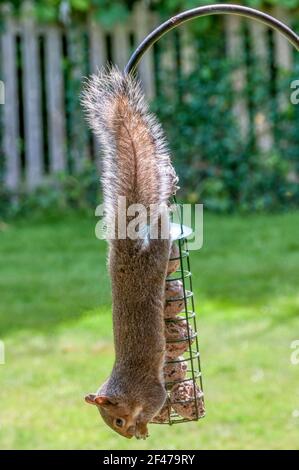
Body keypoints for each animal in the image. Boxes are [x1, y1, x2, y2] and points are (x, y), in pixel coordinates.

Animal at [82, 68, 178, 438]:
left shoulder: (150, 391)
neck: (125, 389)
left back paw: (166, 211)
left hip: (156, 257)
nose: (126, 436)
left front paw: (144, 427)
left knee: (162, 232)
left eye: (118, 420)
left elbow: (157, 402)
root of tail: (127, 251)